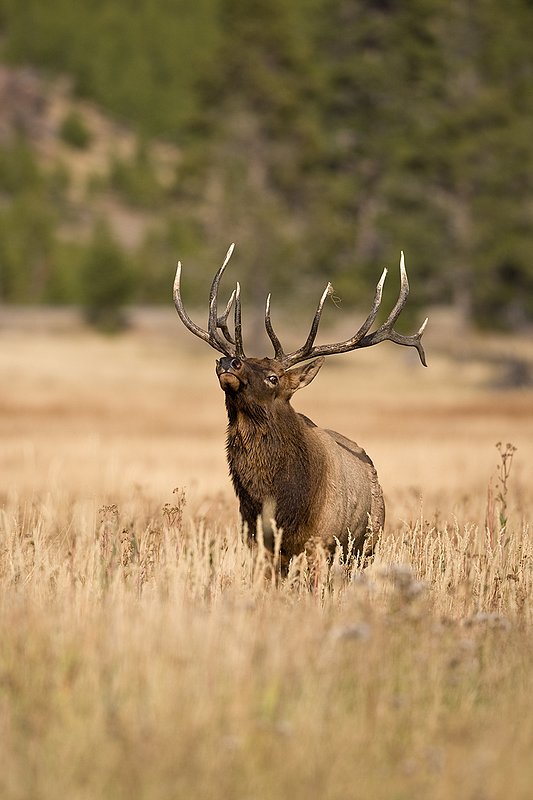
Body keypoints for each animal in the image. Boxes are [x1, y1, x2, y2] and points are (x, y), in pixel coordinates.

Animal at [173, 244, 427, 568]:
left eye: (273, 377)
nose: (229, 361)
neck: (279, 505)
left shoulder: (321, 542)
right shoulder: (258, 543)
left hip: (365, 546)